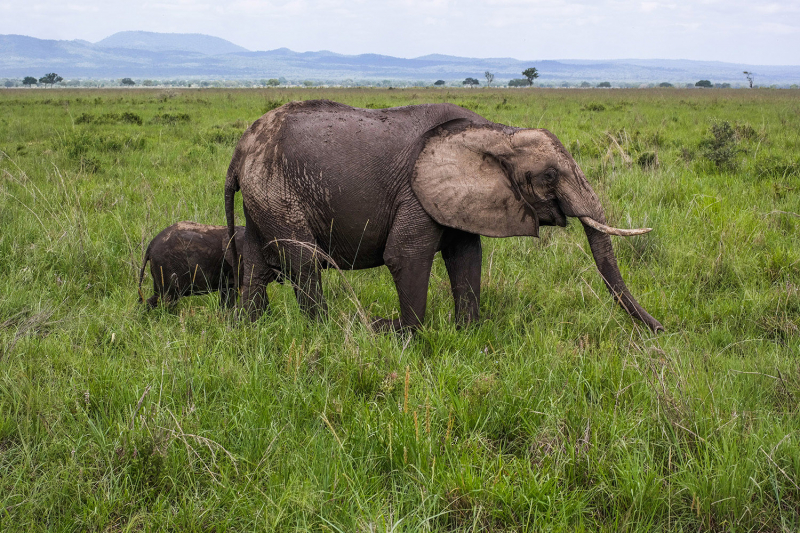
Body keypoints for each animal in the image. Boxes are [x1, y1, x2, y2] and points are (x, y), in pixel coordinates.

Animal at [223, 99, 664, 330]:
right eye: (550, 176)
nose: (662, 331)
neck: (496, 131)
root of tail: (240, 151)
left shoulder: (459, 198)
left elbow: (465, 256)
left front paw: (467, 334)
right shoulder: (416, 193)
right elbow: (405, 255)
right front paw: (406, 339)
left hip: (265, 195)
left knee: (257, 264)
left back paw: (251, 330)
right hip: (277, 191)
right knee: (303, 262)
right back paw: (326, 333)